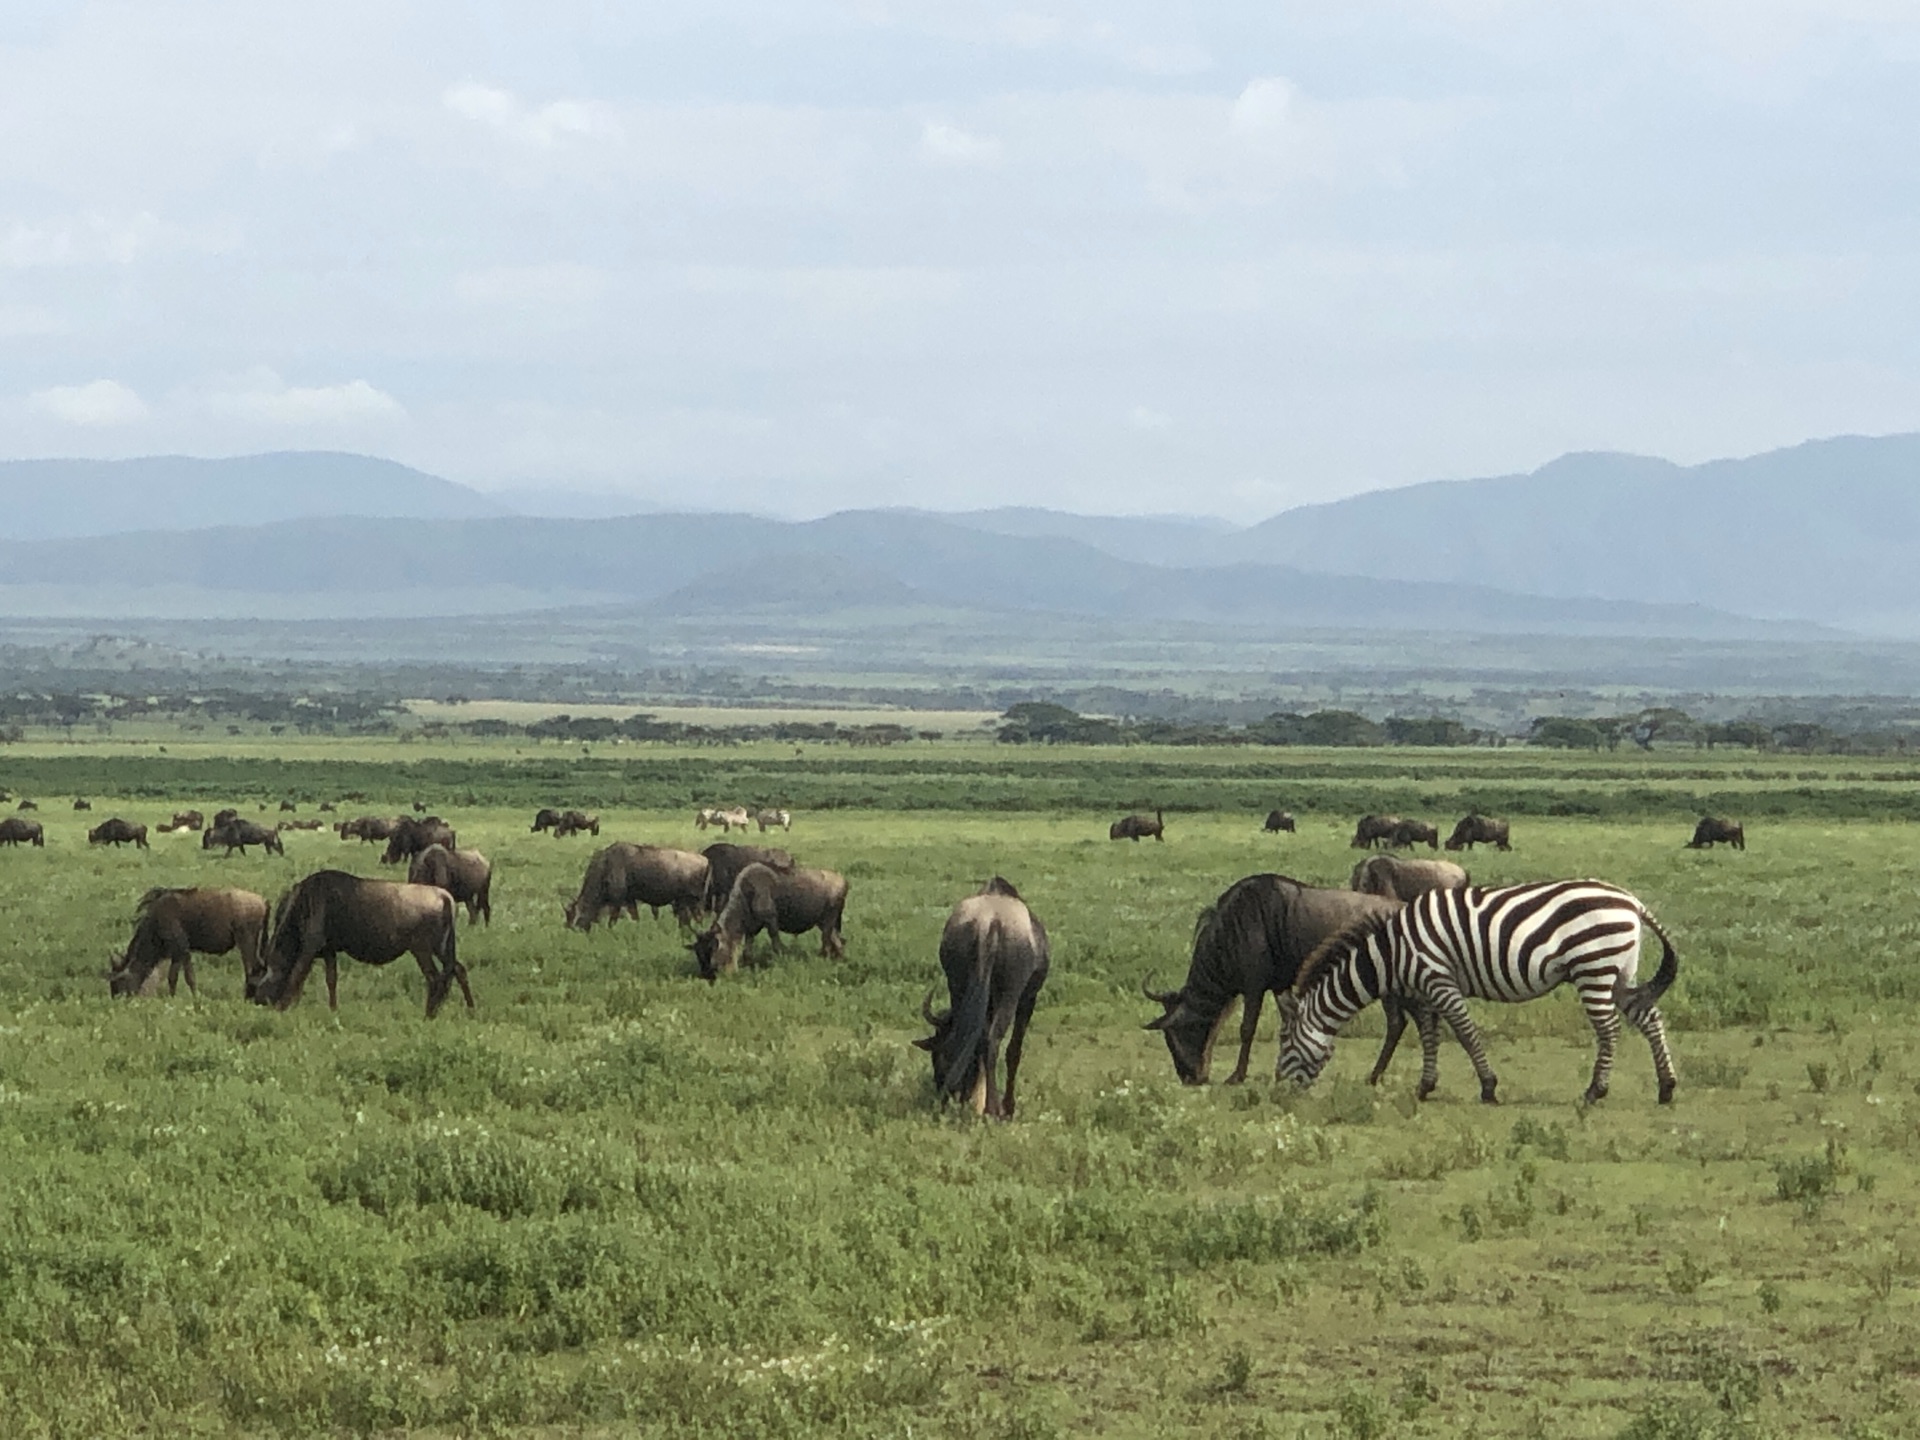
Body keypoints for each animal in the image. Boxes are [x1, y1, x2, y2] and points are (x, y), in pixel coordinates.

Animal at [1274, 879, 1681, 1105]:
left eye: (1285, 1042)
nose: (1278, 1090)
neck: (1390, 954)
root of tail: (1632, 901)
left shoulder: (1438, 980)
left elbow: (1464, 1032)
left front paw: (1487, 1087)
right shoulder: (1424, 991)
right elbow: (1430, 1034)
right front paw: (1425, 1086)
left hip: (1593, 967)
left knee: (1609, 1030)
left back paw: (1595, 1091)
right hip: (1619, 972)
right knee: (1650, 1018)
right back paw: (1666, 1087)